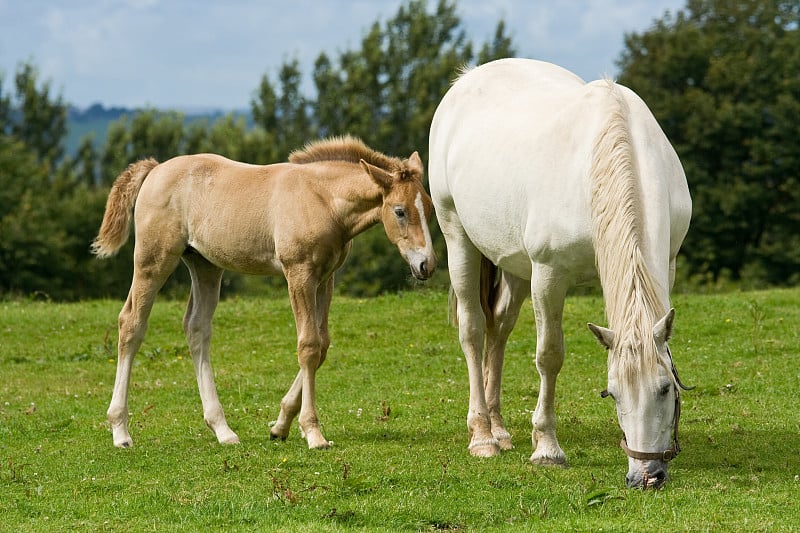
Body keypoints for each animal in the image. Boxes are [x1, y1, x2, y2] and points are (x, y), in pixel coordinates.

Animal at [432, 58, 692, 486]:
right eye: (612, 393)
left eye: (665, 389)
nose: (646, 475)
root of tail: (466, 78)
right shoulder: (548, 276)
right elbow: (549, 356)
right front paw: (547, 449)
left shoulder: (666, 265)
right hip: (459, 239)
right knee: (472, 331)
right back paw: (483, 436)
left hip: (515, 265)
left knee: (499, 329)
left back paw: (500, 430)